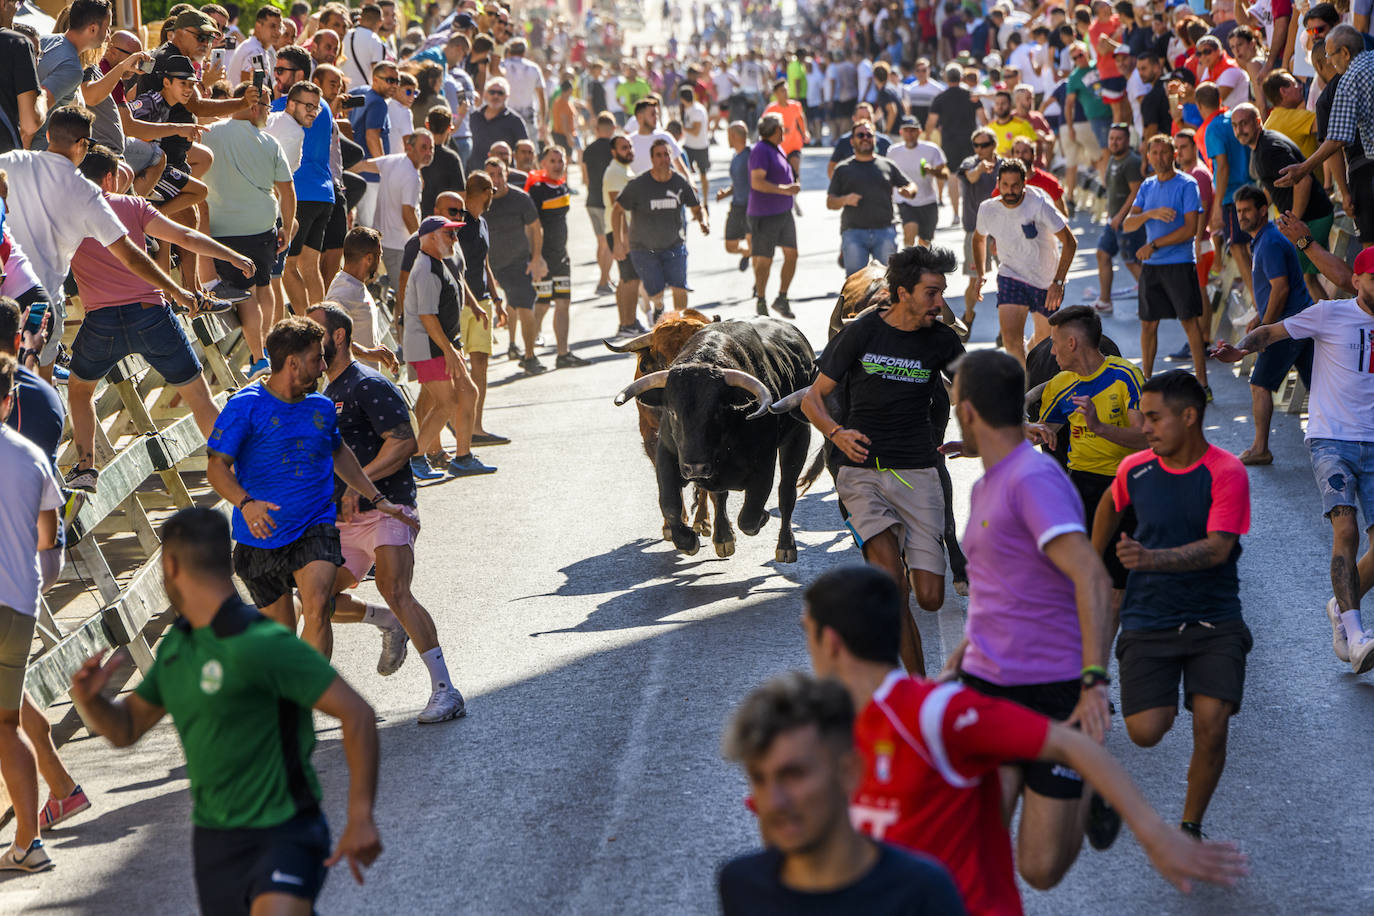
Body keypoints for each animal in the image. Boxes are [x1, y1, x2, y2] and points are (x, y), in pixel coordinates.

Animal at [618, 322, 818, 565]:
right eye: (673, 412)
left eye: (717, 411)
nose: (695, 467)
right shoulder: (666, 454)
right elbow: (670, 504)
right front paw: (688, 540)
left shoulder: (764, 463)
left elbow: (750, 515)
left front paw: (763, 517)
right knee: (718, 497)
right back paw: (723, 538)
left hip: (799, 436)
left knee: (786, 493)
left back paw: (785, 546)